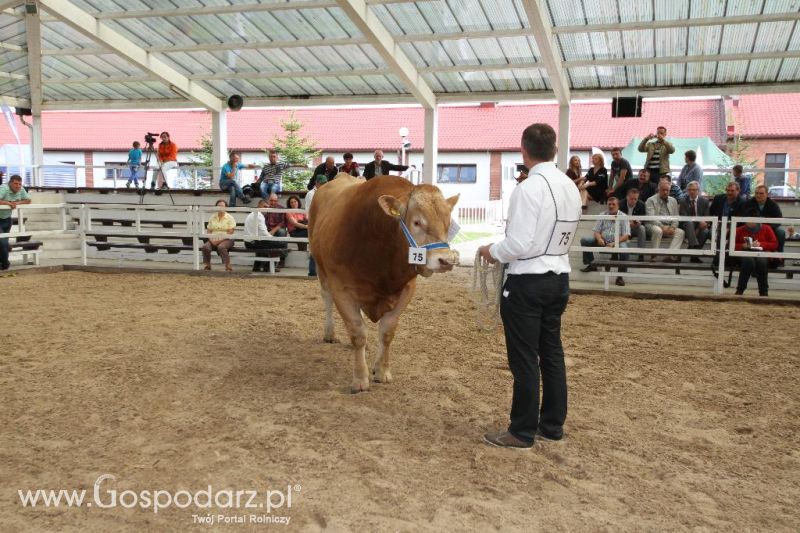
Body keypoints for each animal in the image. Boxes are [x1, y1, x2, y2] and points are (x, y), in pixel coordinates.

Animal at [310, 172, 460, 392]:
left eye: (447, 223)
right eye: (417, 222)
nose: (446, 261)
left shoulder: (407, 289)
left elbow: (387, 332)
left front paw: (381, 371)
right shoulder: (341, 288)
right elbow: (357, 331)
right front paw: (360, 378)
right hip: (320, 268)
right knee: (326, 298)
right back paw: (330, 333)